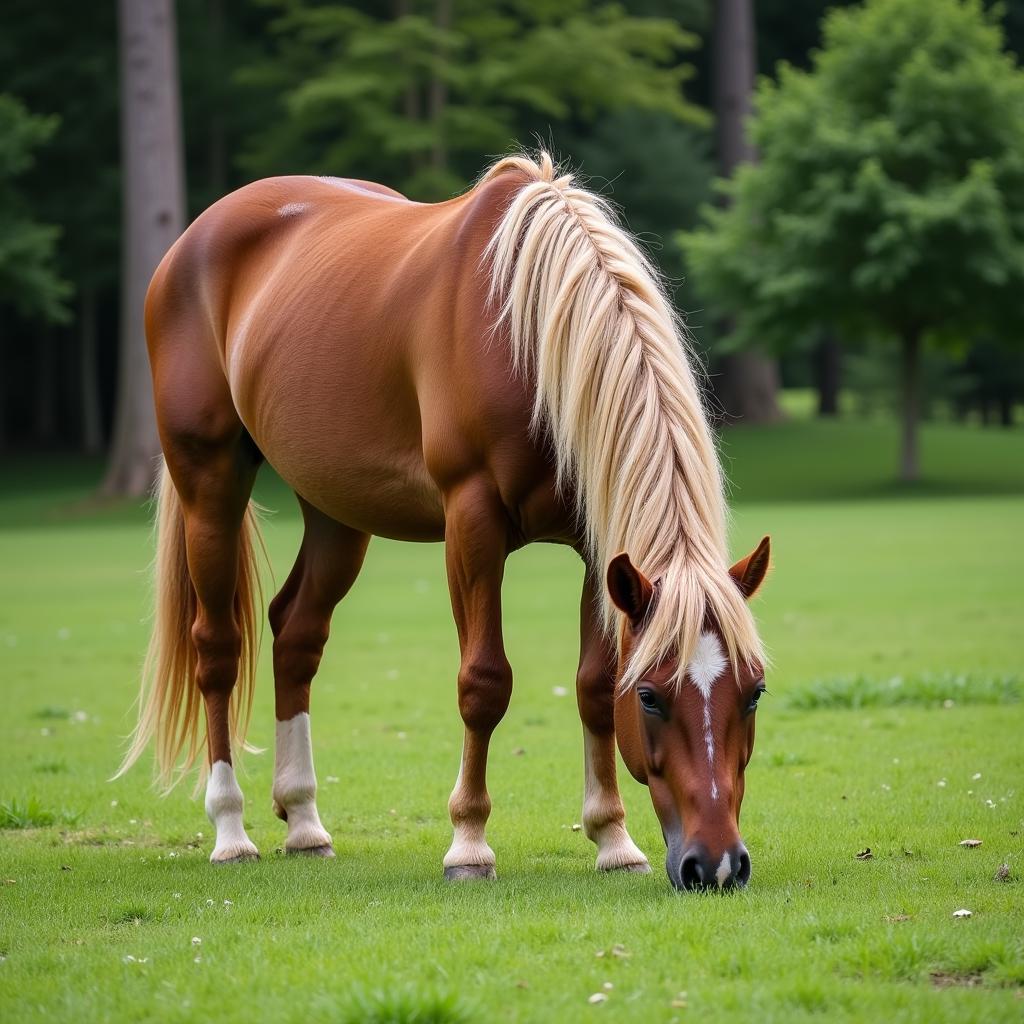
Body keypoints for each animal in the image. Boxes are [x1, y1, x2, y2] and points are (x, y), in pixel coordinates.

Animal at [114, 149, 770, 888]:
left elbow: (595, 686)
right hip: (210, 483)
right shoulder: (472, 521)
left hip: (336, 512)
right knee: (217, 648)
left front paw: (612, 840)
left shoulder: (596, 548)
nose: (717, 865)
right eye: (654, 696)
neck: (527, 331)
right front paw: (469, 843)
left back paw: (305, 822)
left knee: (297, 633)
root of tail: (191, 241)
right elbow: (484, 682)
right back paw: (230, 829)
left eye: (754, 692)